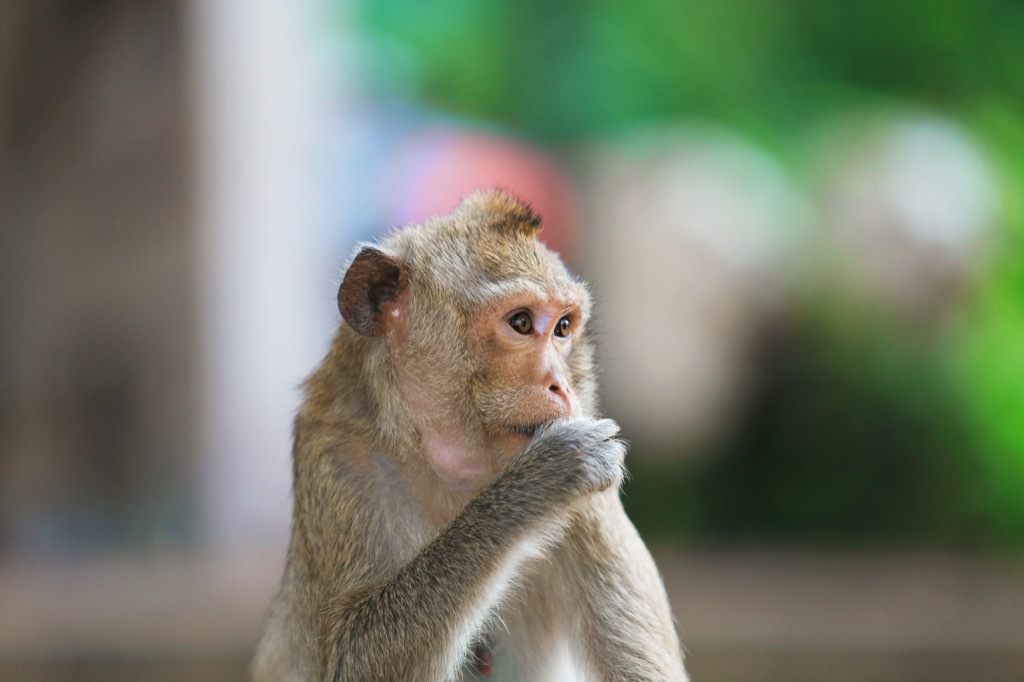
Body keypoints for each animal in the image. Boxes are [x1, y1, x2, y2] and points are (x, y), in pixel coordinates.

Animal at [252, 190, 687, 681]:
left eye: (562, 327)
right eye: (521, 323)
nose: (562, 385)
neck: (448, 466)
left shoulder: (594, 506)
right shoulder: (335, 457)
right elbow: (351, 657)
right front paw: (536, 485)